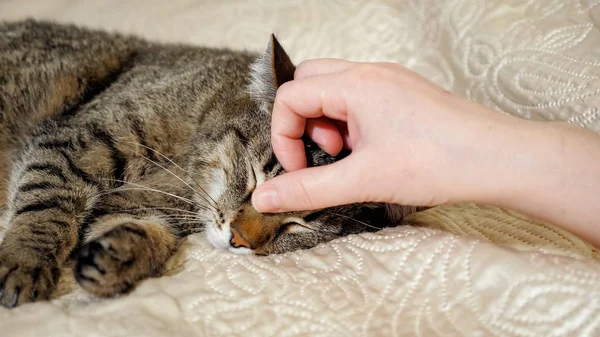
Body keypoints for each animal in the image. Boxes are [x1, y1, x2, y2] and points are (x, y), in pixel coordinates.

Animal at [0, 18, 418, 308]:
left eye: (299, 225)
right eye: (256, 177)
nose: (239, 241)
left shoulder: (134, 204)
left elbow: (145, 230)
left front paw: (121, 257)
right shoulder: (79, 141)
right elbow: (46, 206)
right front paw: (24, 260)